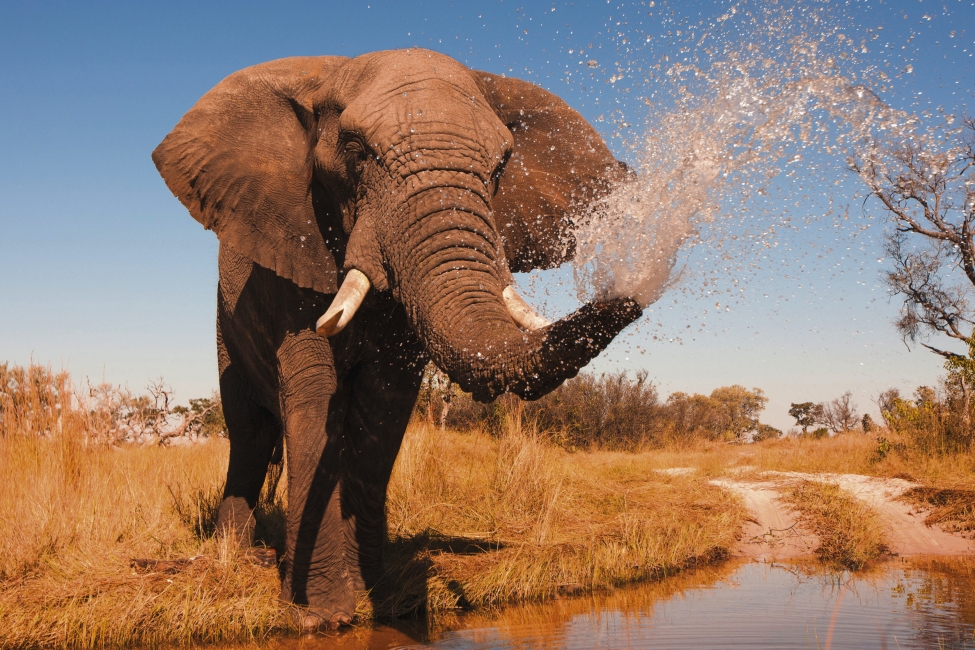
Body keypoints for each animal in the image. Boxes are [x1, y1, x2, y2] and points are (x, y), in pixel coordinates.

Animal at [152, 48, 642, 630]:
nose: (634, 291)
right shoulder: (293, 246)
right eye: (355, 152)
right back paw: (236, 552)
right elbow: (314, 392)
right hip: (226, 325)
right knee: (248, 430)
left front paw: (379, 596)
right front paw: (320, 615)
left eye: (501, 167)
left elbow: (383, 404)